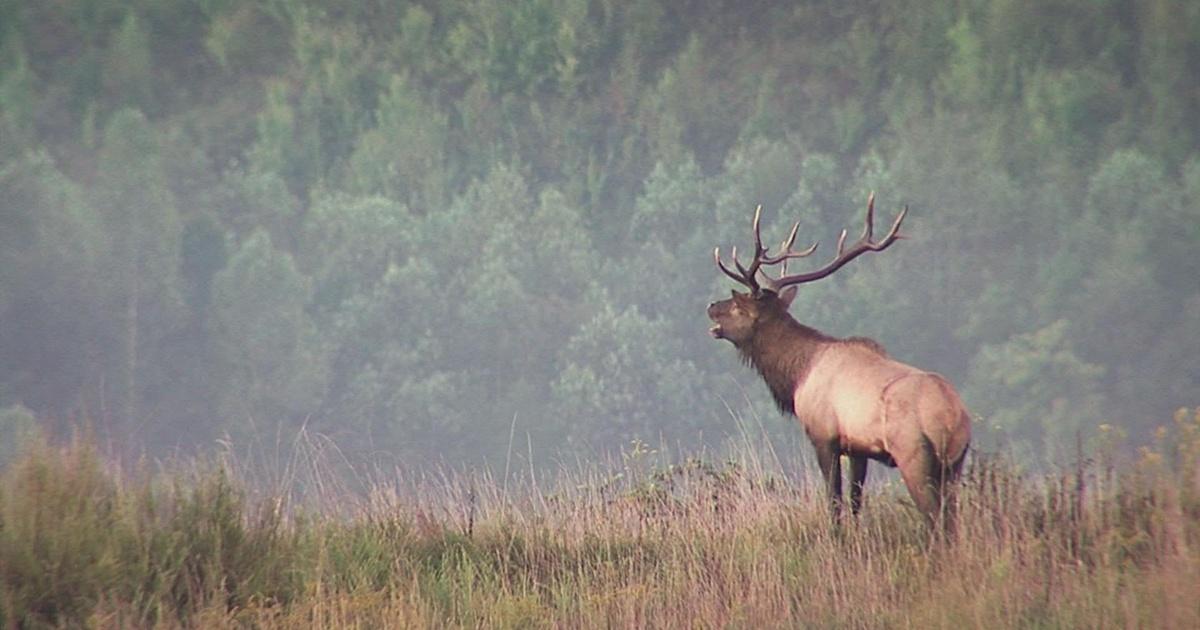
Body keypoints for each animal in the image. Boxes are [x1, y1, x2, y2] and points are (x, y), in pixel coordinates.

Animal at [707, 194, 971, 531]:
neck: (797, 376)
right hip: (955, 464)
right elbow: (856, 502)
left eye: (737, 306)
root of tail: (953, 417)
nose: (711, 306)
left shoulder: (824, 436)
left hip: (914, 455)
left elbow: (834, 502)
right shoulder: (858, 448)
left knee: (937, 519)